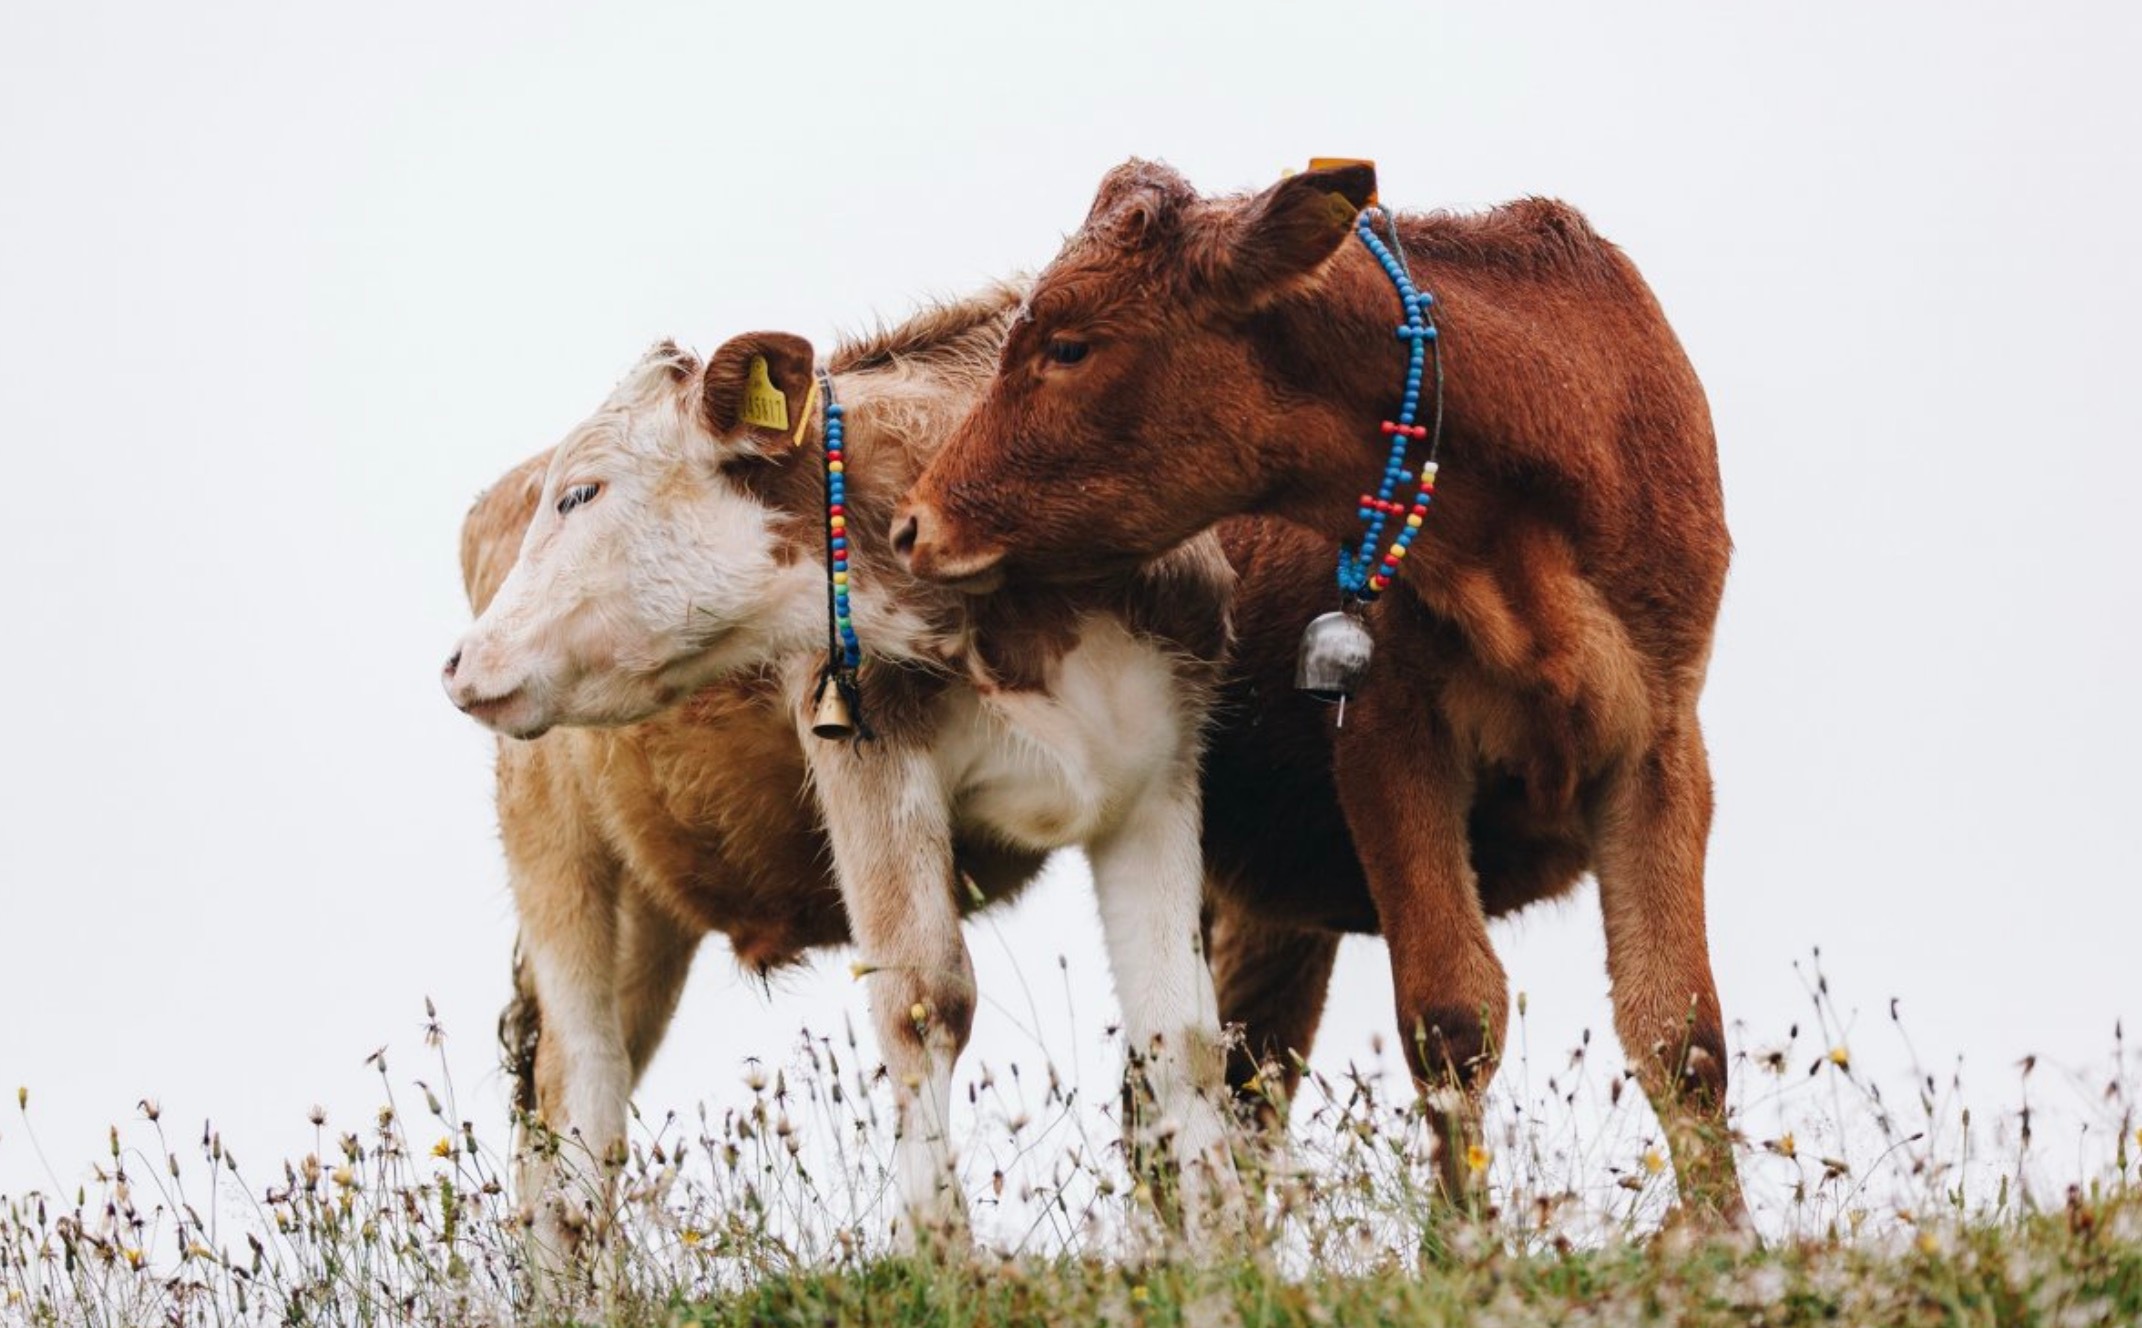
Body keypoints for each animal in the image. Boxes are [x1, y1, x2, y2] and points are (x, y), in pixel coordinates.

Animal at [449, 287, 1250, 1242]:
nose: (462, 660)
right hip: (553, 846)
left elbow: (1180, 1035)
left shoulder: (1154, 772)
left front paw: (1227, 1245)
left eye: (580, 493)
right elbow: (925, 998)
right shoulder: (869, 750)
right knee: (583, 1094)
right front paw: (934, 1244)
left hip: (648, 906)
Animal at [895, 160, 1747, 1216]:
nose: (913, 522)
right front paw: (1466, 1242)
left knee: (1239, 1082)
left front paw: (1728, 1241)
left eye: (1068, 344)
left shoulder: (1662, 740)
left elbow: (1681, 1038)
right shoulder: (1384, 738)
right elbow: (1451, 1015)